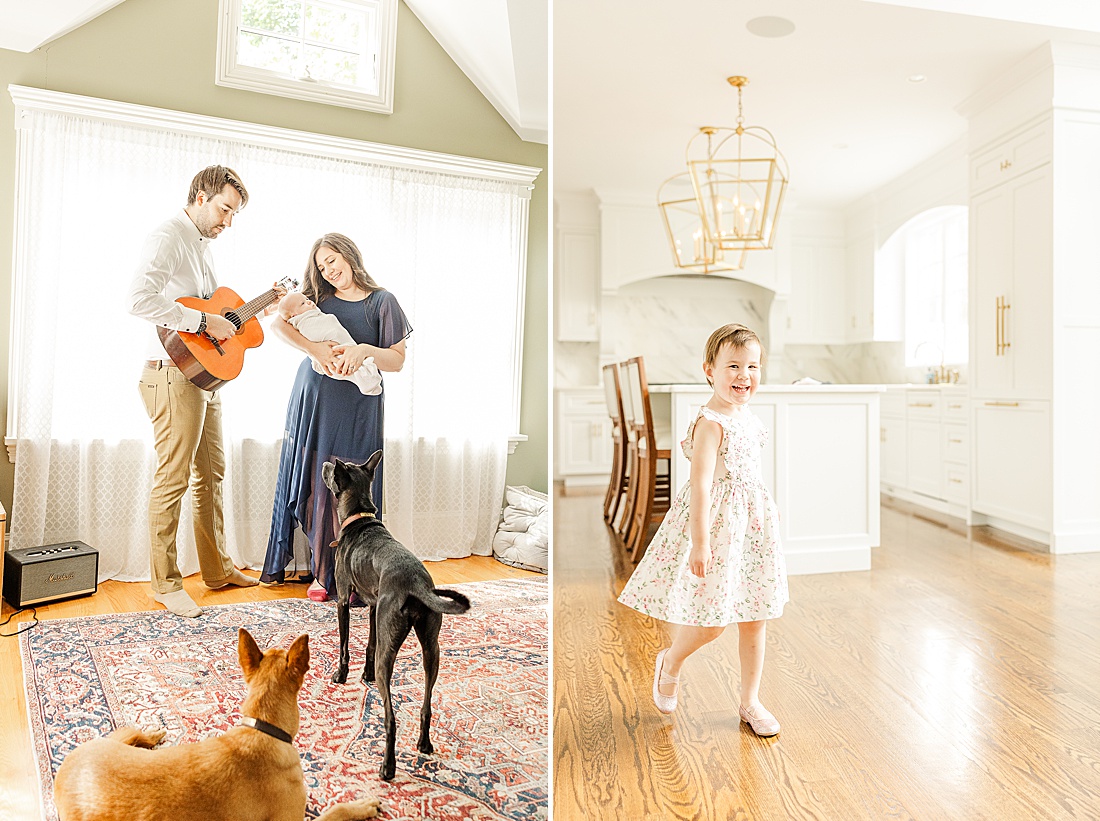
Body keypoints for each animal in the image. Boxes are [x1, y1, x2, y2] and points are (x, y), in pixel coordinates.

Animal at [53, 625, 380, 818]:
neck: (262, 726)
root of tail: (66, 765)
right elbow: (336, 812)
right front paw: (361, 806)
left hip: (112, 746)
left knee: (128, 734)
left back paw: (154, 733)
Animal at [321, 451, 470, 779]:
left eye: (334, 471)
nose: (324, 463)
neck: (359, 517)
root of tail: (416, 585)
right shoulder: (374, 606)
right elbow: (369, 644)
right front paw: (363, 675)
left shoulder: (343, 599)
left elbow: (344, 644)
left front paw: (341, 675)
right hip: (431, 648)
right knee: (426, 703)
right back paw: (424, 744)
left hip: (390, 654)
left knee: (391, 717)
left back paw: (387, 766)